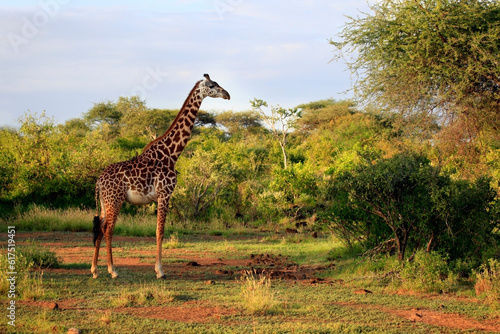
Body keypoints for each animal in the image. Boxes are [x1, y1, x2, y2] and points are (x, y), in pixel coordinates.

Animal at [91, 74, 229, 278]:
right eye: (212, 85)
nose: (227, 94)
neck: (171, 154)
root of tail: (99, 181)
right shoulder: (165, 194)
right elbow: (160, 231)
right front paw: (160, 271)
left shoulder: (160, 196)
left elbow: (158, 231)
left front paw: (158, 269)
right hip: (115, 200)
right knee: (108, 229)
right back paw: (112, 270)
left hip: (104, 202)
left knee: (100, 228)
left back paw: (94, 270)